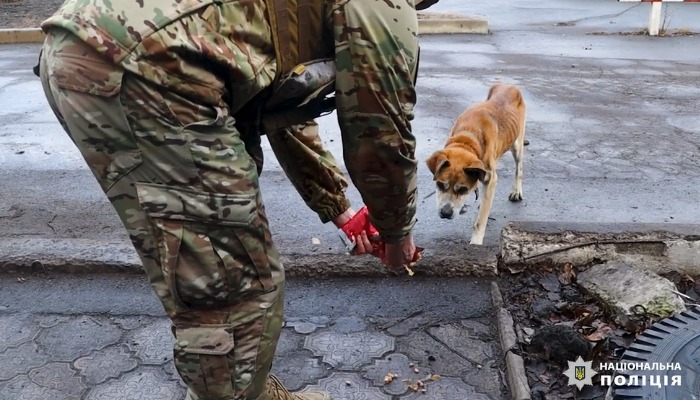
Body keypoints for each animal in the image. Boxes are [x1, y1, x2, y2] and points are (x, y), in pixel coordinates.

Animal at [426, 82, 527, 245]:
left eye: (463, 189)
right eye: (440, 185)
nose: (446, 213)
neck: (468, 138)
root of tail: (508, 85)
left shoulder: (490, 177)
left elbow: (480, 221)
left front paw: (476, 242)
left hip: (517, 144)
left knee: (519, 167)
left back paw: (516, 191)